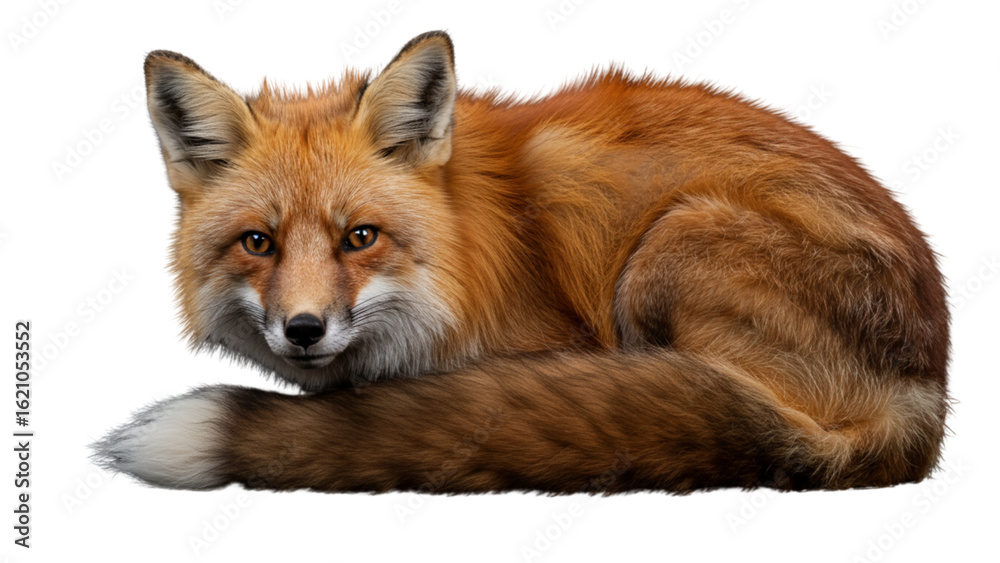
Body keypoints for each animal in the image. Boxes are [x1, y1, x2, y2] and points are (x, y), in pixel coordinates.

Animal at [94, 31, 950, 493]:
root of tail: (925, 391)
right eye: (258, 242)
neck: (468, 247)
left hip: (667, 246)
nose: (304, 329)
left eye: (360, 237)